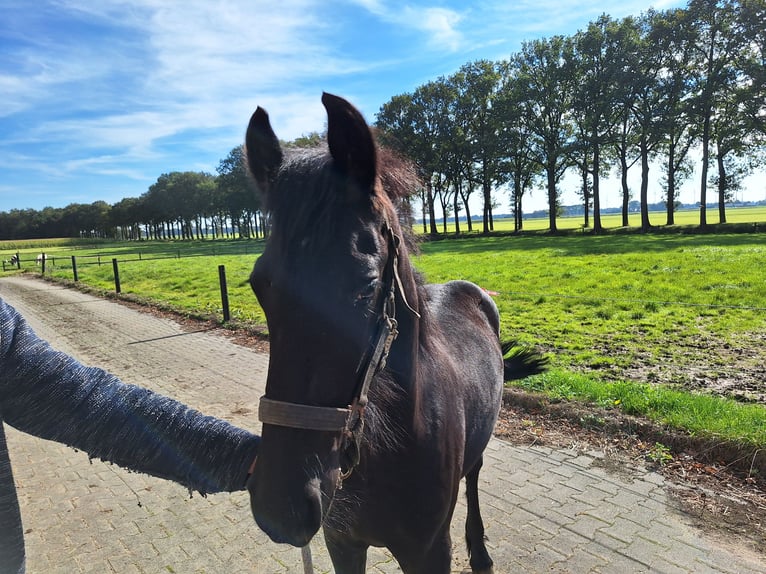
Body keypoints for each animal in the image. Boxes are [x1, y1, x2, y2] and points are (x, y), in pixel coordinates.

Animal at [246, 92, 544, 572]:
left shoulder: (430, 552)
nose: (280, 507)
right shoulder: (342, 544)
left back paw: (480, 552)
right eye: (259, 285)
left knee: (475, 477)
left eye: (367, 284)